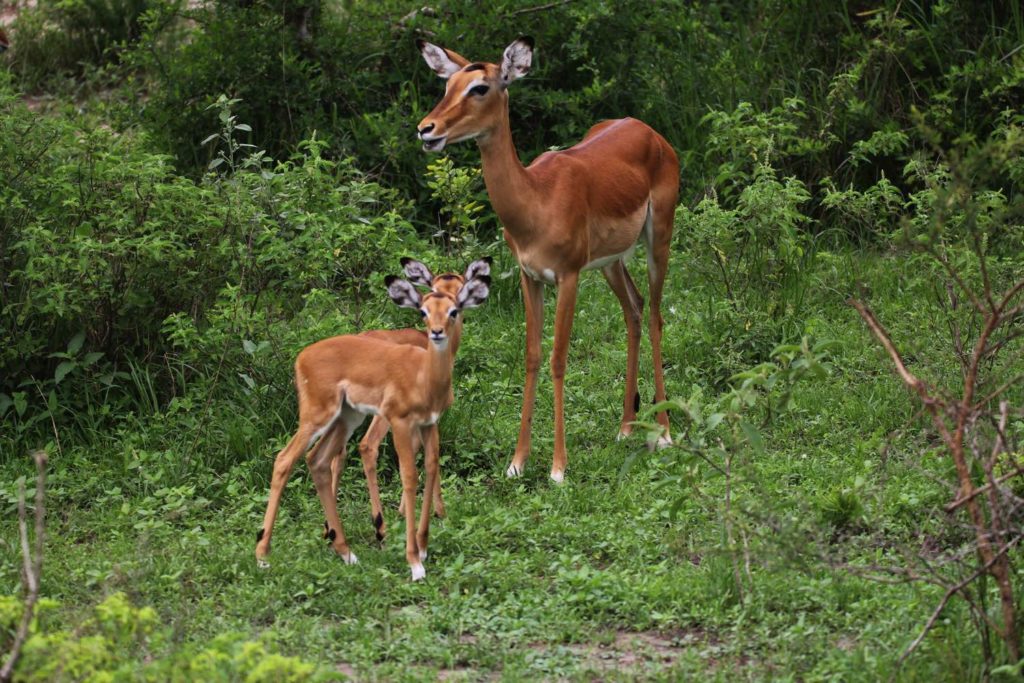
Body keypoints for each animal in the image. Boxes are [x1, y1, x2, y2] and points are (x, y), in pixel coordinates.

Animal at [258, 270, 493, 581]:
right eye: (424, 310)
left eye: (454, 308)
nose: (437, 331)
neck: (425, 376)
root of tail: (301, 357)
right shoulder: (401, 421)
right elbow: (410, 476)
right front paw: (415, 561)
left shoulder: (429, 422)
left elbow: (430, 467)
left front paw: (423, 545)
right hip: (320, 416)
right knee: (289, 459)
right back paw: (264, 554)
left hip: (347, 418)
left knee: (319, 460)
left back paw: (344, 550)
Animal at [415, 37, 679, 483]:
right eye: (447, 85)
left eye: (480, 87)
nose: (426, 129)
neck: (536, 200)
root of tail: (650, 132)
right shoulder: (530, 277)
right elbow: (532, 356)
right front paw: (517, 462)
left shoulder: (568, 277)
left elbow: (558, 358)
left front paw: (558, 468)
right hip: (610, 262)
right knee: (635, 309)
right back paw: (626, 427)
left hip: (658, 236)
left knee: (657, 314)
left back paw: (663, 432)